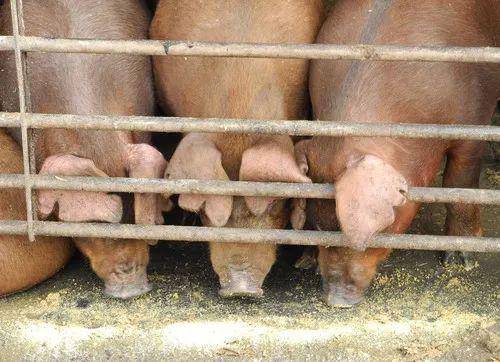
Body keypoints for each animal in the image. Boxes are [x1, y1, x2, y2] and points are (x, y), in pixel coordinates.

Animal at [294, 0, 498, 306]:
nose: (334, 299)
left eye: (378, 230)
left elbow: (459, 186)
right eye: (317, 227)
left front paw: (460, 261)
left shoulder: (472, 123)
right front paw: (306, 262)